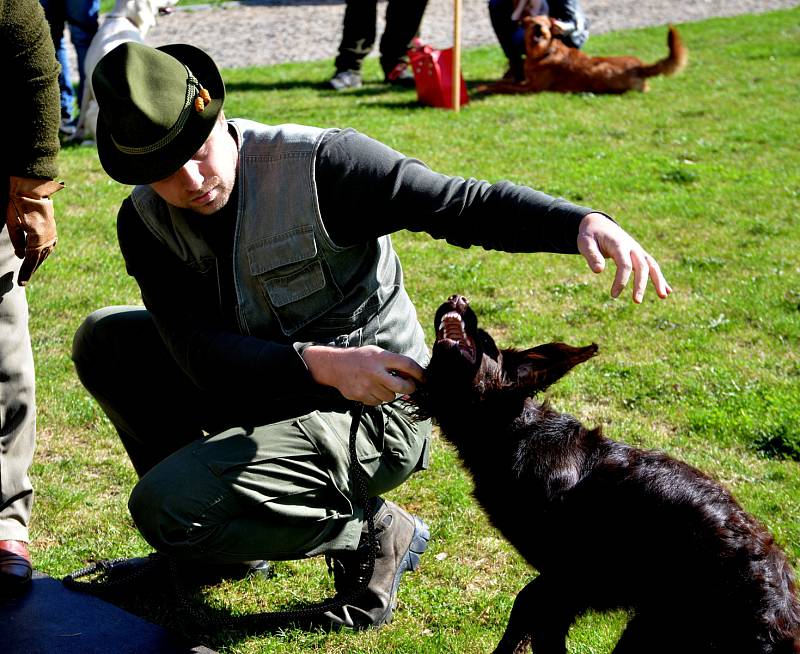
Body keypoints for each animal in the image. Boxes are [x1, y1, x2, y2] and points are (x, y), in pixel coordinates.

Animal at [412, 298, 800, 654]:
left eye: (484, 342)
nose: (459, 299)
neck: (511, 432)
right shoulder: (563, 584)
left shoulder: (571, 576)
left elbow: (529, 611)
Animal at [482, 16, 688, 95]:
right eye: (532, 22)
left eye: (546, 23)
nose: (540, 27)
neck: (543, 53)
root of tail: (640, 66)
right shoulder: (527, 82)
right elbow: (507, 82)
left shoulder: (532, 88)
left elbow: (505, 86)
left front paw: (487, 87)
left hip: (602, 72)